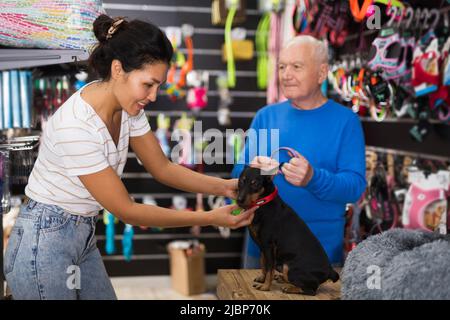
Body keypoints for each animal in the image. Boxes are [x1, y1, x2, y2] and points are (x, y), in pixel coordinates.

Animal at [237, 166, 340, 296]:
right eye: (241, 181)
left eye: (255, 183)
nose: (239, 200)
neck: (264, 203)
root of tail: (329, 271)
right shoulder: (263, 247)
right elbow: (263, 264)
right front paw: (262, 278)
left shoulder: (269, 246)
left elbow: (270, 268)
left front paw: (265, 286)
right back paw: (283, 279)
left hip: (288, 267)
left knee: (311, 290)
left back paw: (290, 288)